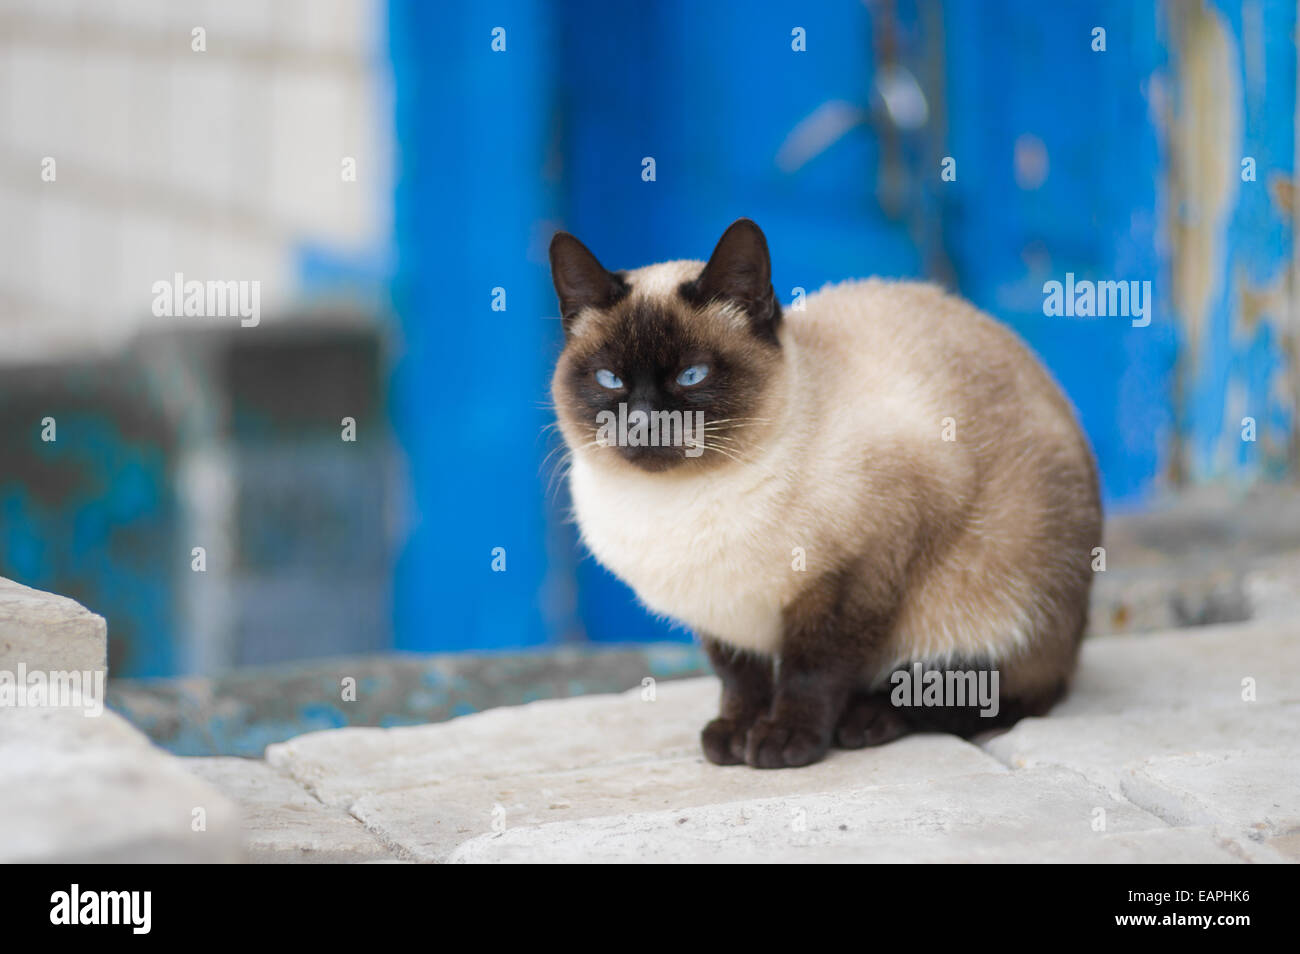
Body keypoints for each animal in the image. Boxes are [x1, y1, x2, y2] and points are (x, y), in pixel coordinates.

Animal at [546, 218, 1097, 769]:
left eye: (691, 375)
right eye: (609, 379)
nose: (642, 423)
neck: (676, 505)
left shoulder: (856, 577)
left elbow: (812, 672)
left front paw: (784, 741)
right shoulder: (719, 614)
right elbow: (738, 679)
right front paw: (734, 735)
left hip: (989, 610)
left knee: (992, 697)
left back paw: (864, 721)